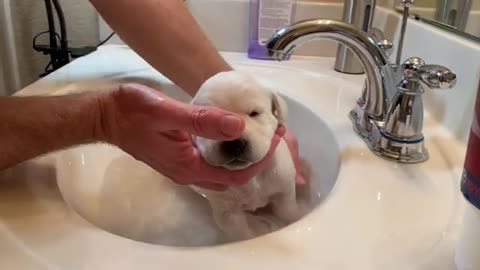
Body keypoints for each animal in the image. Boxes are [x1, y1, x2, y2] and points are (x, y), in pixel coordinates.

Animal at [191, 71, 300, 240]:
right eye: (209, 120)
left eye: (254, 113)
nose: (233, 143)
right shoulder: (227, 212)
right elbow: (243, 233)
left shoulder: (284, 191)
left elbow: (290, 212)